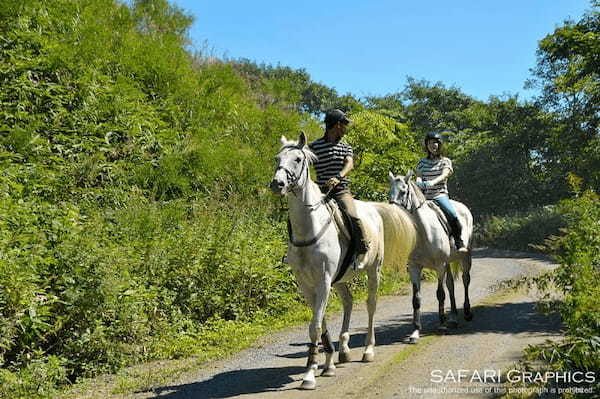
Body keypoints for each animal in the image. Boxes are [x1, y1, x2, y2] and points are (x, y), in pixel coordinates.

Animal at [270, 133, 414, 390]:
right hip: (340, 280)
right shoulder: (307, 284)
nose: (277, 184)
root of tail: (373, 209)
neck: (309, 228)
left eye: (298, 159)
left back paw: (368, 351)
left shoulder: (324, 281)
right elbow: (321, 322)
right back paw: (344, 349)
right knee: (348, 301)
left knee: (370, 305)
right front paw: (327, 363)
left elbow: (315, 325)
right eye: (277, 158)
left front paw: (309, 374)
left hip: (373, 271)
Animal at [390, 171, 474, 344]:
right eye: (390, 192)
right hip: (448, 263)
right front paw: (415, 332)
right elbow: (416, 299)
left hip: (465, 257)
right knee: (451, 285)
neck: (423, 232)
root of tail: (464, 208)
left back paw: (467, 312)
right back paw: (453, 318)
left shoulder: (439, 266)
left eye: (403, 191)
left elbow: (440, 294)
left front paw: (441, 326)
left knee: (465, 280)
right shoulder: (414, 267)